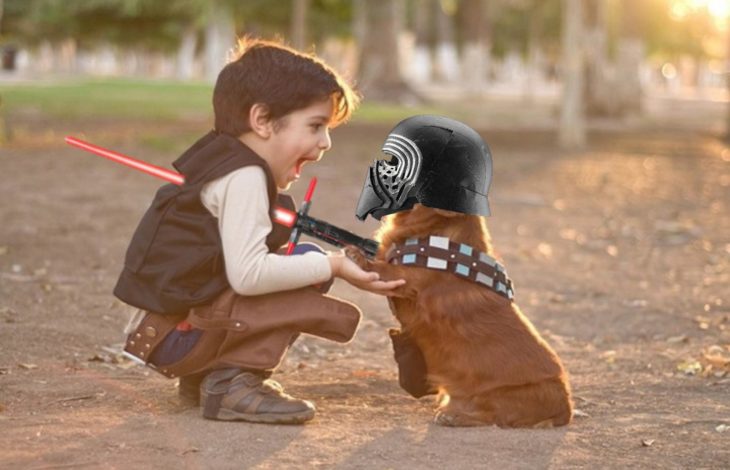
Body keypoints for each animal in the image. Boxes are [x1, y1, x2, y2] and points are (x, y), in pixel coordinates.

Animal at [346, 204, 568, 428]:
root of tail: (566, 410)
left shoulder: (408, 278)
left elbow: (385, 270)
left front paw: (356, 256)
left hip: (501, 396)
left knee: (492, 417)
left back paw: (455, 416)